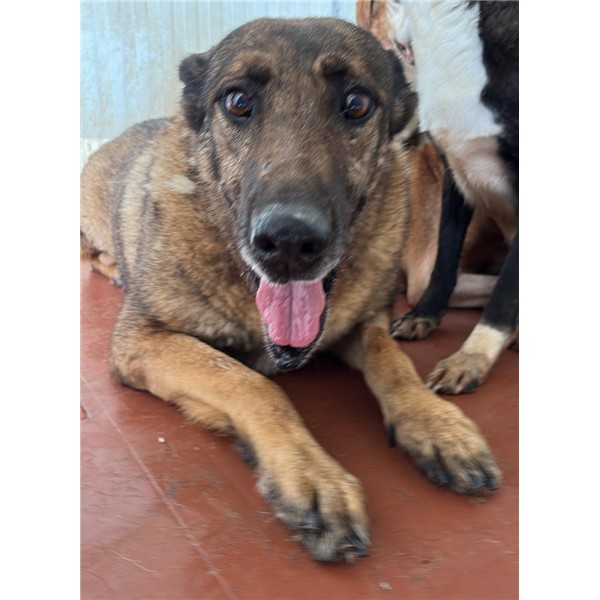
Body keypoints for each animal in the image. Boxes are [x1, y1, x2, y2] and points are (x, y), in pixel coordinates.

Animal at [81, 17, 501, 562]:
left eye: (356, 103)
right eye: (238, 101)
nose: (288, 242)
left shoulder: (366, 323)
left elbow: (394, 362)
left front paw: (436, 423)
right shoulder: (140, 339)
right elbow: (251, 384)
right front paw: (309, 471)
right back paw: (113, 266)